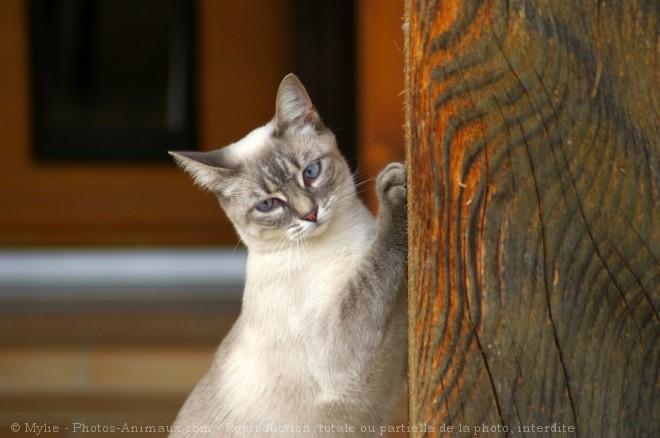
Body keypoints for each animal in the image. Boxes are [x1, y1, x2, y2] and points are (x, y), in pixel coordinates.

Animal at [169, 73, 408, 436]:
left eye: (311, 172)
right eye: (268, 205)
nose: (310, 214)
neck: (345, 233)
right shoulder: (338, 345)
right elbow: (377, 266)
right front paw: (395, 191)